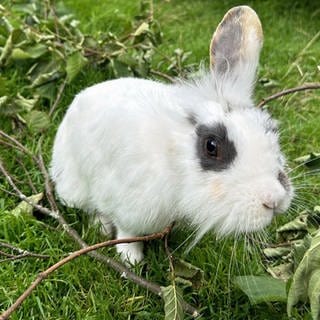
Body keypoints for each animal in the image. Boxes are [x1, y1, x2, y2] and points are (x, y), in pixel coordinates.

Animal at [51, 6, 294, 264]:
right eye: (211, 146)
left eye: (271, 130)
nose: (274, 199)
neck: (174, 157)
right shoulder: (128, 206)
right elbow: (127, 233)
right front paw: (132, 259)